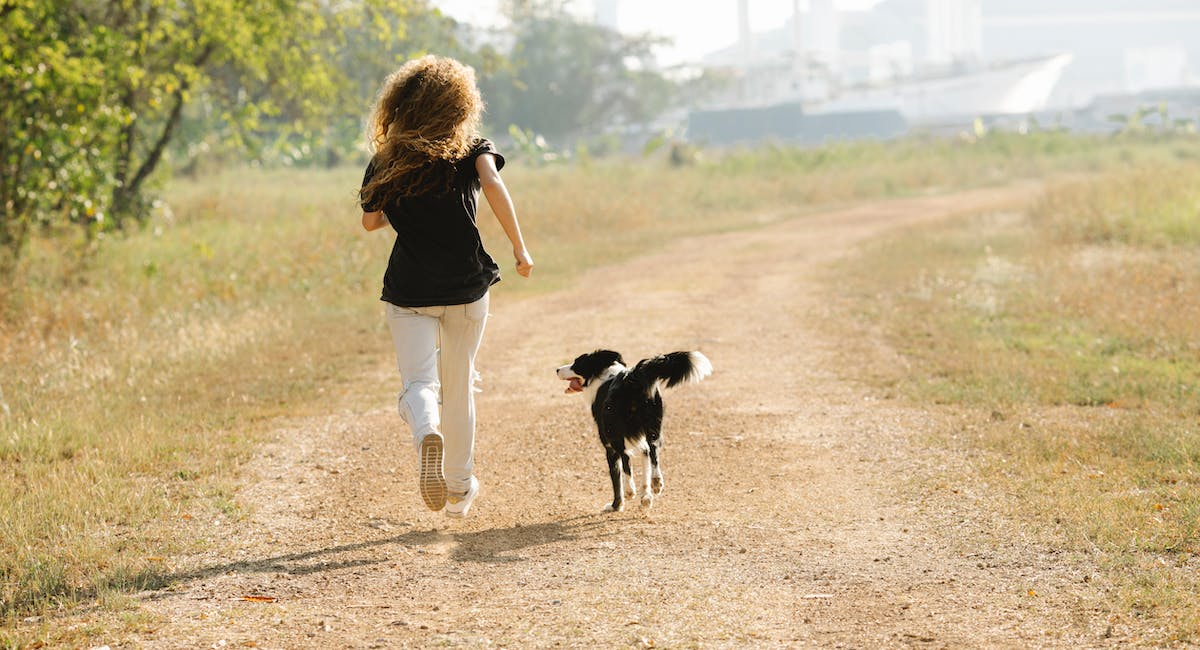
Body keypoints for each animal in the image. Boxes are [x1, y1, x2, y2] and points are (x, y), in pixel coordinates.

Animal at [554, 352, 710, 515]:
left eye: (576, 363)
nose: (557, 369)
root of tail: (632, 377)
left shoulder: (609, 447)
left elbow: (617, 479)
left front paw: (616, 505)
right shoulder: (641, 441)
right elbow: (646, 463)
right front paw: (646, 497)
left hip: (613, 431)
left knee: (626, 457)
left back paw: (630, 490)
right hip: (653, 426)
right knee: (653, 451)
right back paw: (656, 482)